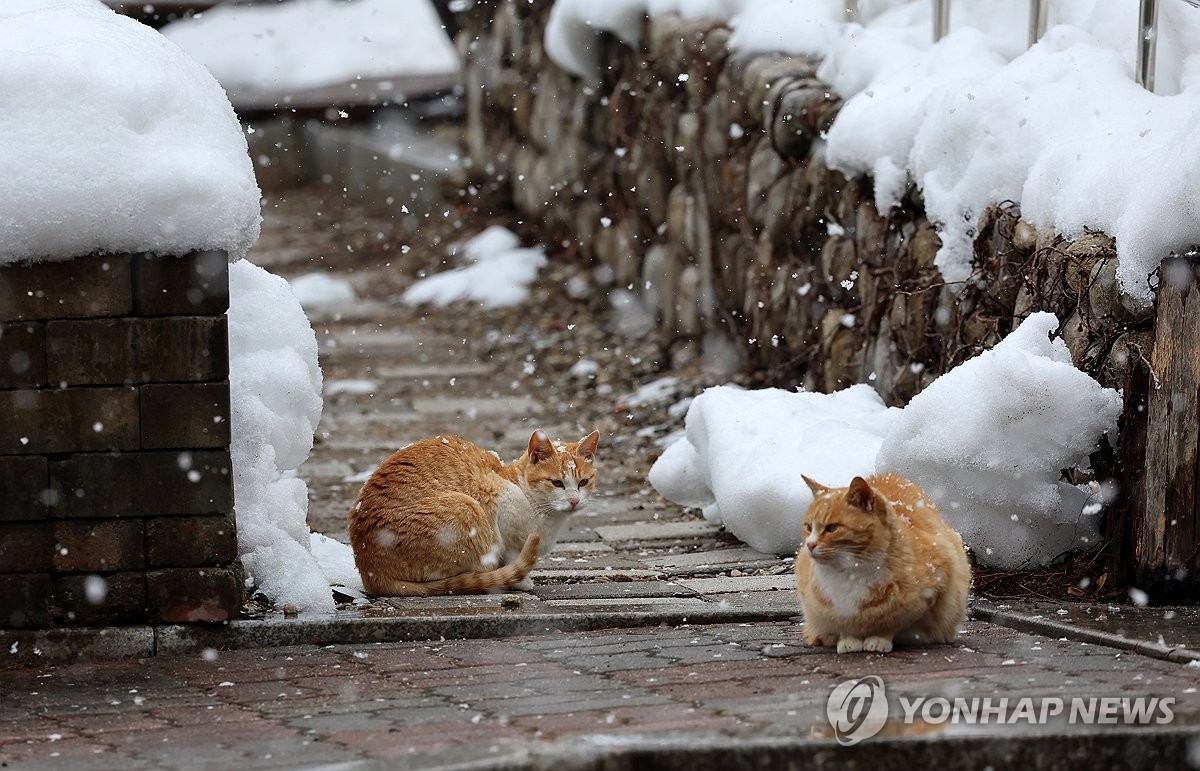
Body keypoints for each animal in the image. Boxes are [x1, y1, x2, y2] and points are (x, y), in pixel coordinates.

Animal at [345, 427, 597, 595]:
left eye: (583, 482)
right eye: (557, 483)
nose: (574, 500)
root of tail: (371, 571)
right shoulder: (498, 494)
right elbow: (513, 555)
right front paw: (520, 581)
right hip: (466, 507)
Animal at [792, 470, 969, 653]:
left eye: (832, 528)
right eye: (808, 527)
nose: (810, 544)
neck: (851, 573)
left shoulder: (932, 589)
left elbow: (892, 622)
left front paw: (879, 639)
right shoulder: (829, 610)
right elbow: (843, 625)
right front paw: (849, 640)